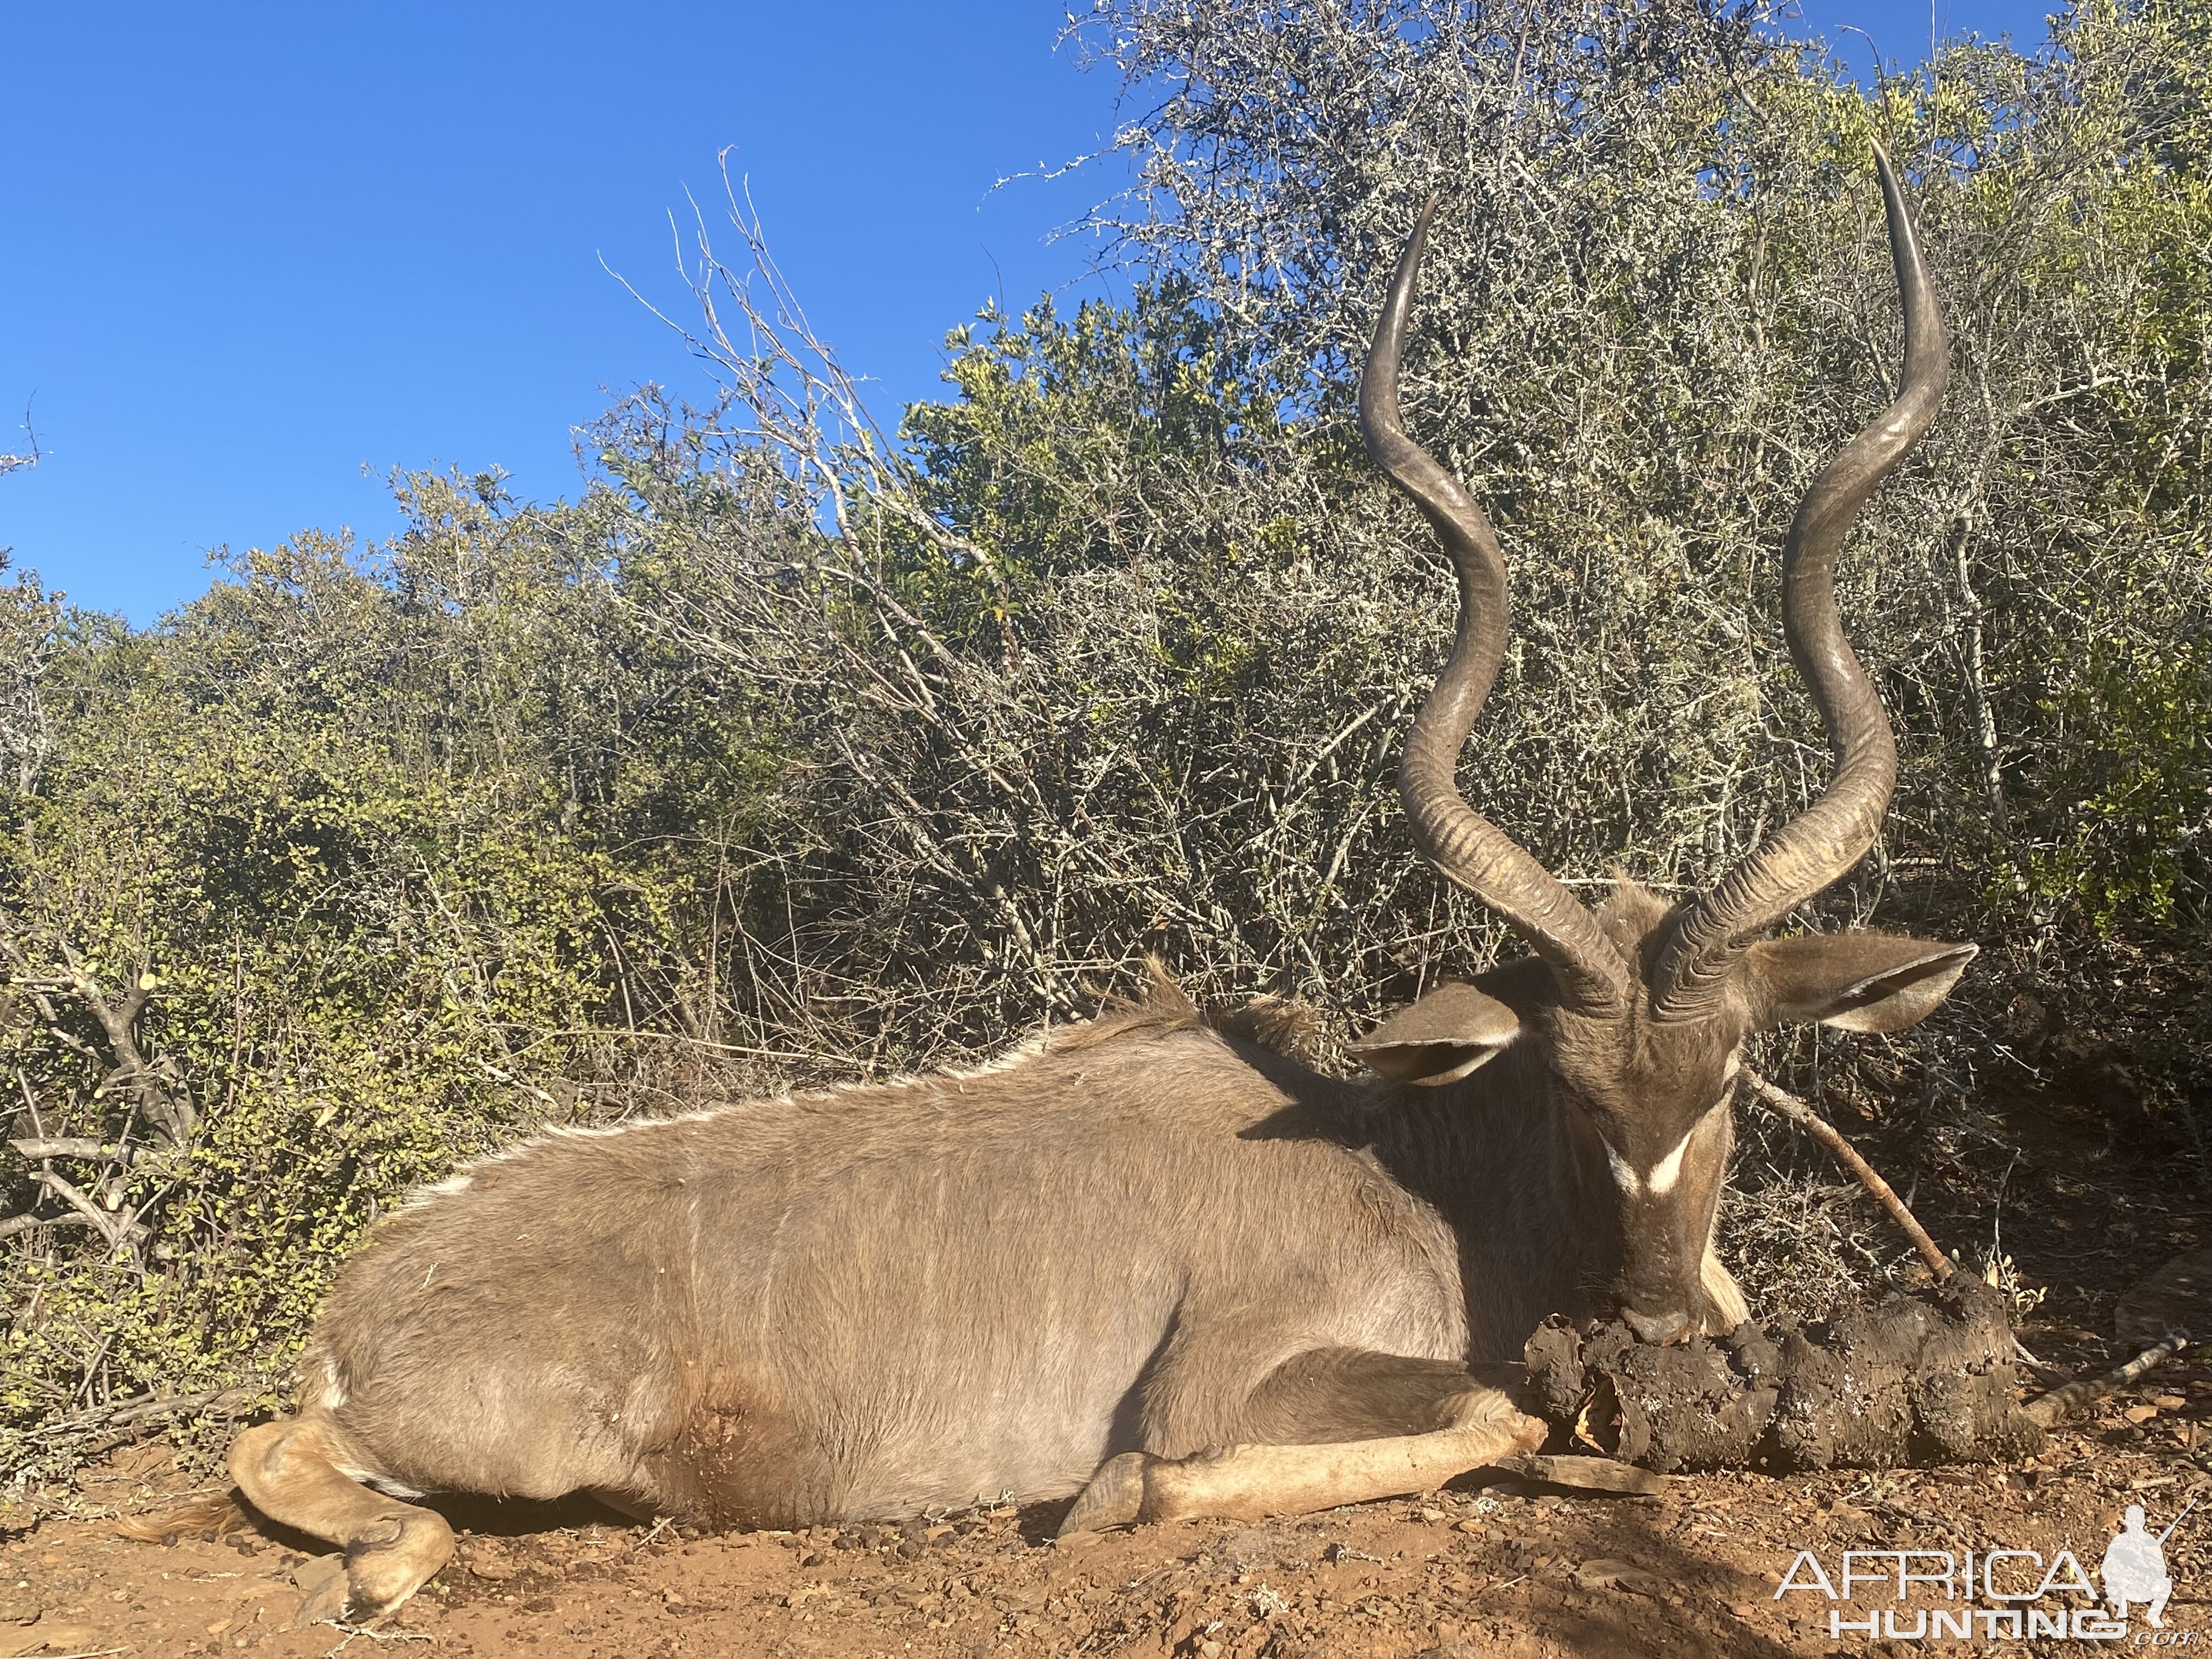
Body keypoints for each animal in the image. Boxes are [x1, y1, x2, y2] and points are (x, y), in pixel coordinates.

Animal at [229, 159, 1973, 1628]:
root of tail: (360, 1296)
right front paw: (1111, 1500)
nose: (1656, 1327)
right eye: (1568, 1084)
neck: (1421, 1167)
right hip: (510, 1450)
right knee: (272, 1458)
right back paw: (390, 1563)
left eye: (1731, 1071)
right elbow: (1454, 1417)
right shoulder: (1226, 1380)